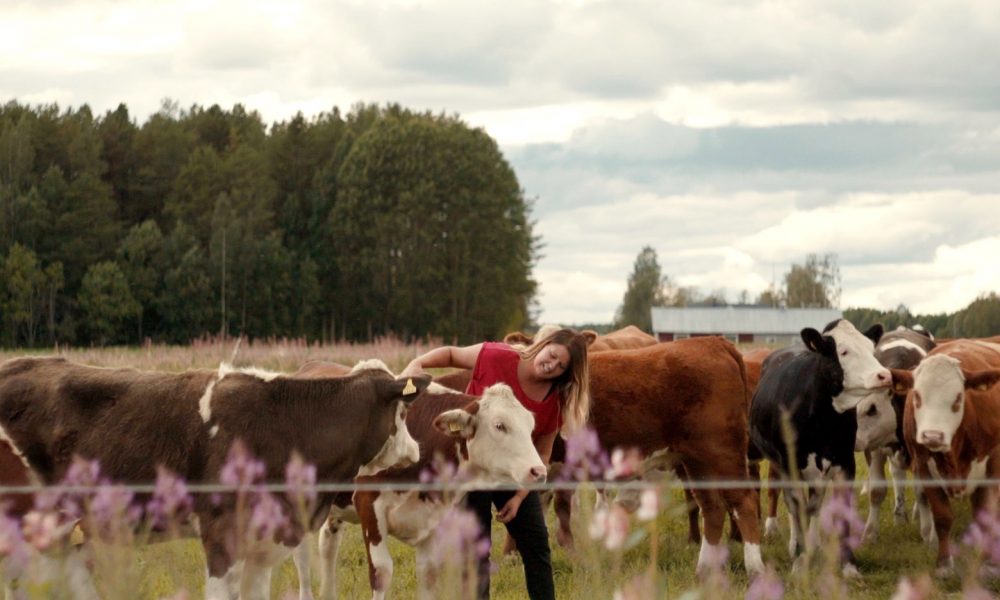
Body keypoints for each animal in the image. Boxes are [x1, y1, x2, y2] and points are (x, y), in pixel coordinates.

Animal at [282, 360, 548, 600]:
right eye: (500, 425)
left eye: (531, 426)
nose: (539, 471)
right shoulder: (368, 504)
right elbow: (382, 572)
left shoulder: (435, 514)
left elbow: (428, 573)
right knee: (302, 556)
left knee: (328, 543)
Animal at [752, 318, 892, 572]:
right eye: (843, 351)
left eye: (871, 348)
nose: (884, 375)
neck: (824, 421)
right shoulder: (791, 466)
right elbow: (798, 509)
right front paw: (799, 562)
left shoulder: (845, 463)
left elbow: (838, 513)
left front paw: (848, 565)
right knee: (793, 504)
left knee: (815, 505)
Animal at [896, 342, 1000, 572]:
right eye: (917, 396)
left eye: (958, 398)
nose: (932, 436)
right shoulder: (924, 468)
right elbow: (942, 517)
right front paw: (944, 564)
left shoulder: (992, 467)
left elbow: (987, 516)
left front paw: (989, 564)